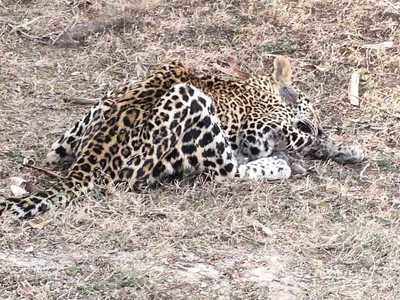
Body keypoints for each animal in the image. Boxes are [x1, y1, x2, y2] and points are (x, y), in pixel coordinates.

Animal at [0, 56, 364, 220]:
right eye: (308, 120)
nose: (317, 126)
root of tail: (87, 167)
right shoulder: (256, 131)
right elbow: (295, 139)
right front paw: (322, 144)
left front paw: (343, 148)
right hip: (189, 102)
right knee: (226, 171)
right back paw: (280, 165)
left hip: (101, 108)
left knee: (54, 153)